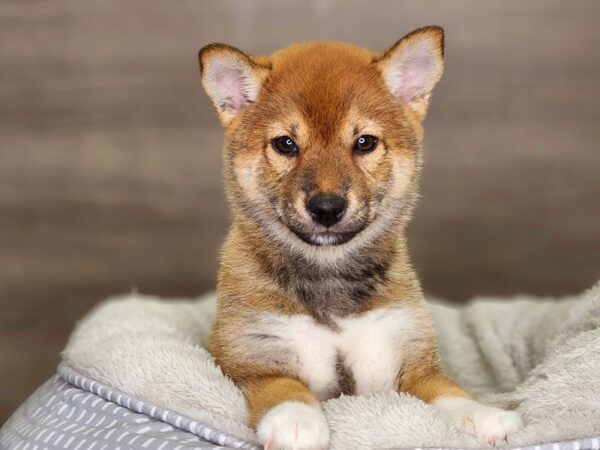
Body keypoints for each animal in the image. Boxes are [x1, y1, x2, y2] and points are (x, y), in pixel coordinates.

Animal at [199, 26, 524, 448]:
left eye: (364, 142)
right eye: (286, 144)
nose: (326, 207)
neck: (329, 278)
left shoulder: (407, 359)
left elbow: (448, 391)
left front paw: (482, 414)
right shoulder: (250, 356)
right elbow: (284, 387)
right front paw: (296, 421)